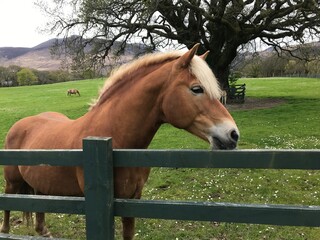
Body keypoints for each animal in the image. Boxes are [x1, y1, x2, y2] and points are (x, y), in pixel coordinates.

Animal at [0, 44, 240, 239]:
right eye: (197, 89)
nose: (233, 134)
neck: (115, 141)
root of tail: (19, 125)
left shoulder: (131, 199)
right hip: (12, 183)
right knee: (7, 211)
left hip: (41, 185)